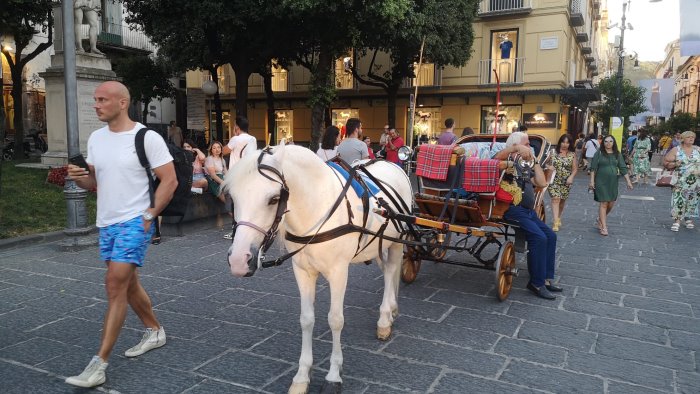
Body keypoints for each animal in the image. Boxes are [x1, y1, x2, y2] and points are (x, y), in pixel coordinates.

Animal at [224, 145, 412, 394]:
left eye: (274, 199)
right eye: (233, 197)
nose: (238, 260)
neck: (317, 208)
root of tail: (391, 163)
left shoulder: (339, 272)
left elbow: (335, 320)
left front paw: (333, 375)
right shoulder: (302, 271)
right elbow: (306, 319)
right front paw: (302, 376)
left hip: (397, 241)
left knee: (391, 271)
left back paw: (384, 318)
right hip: (378, 243)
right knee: (387, 272)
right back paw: (391, 310)